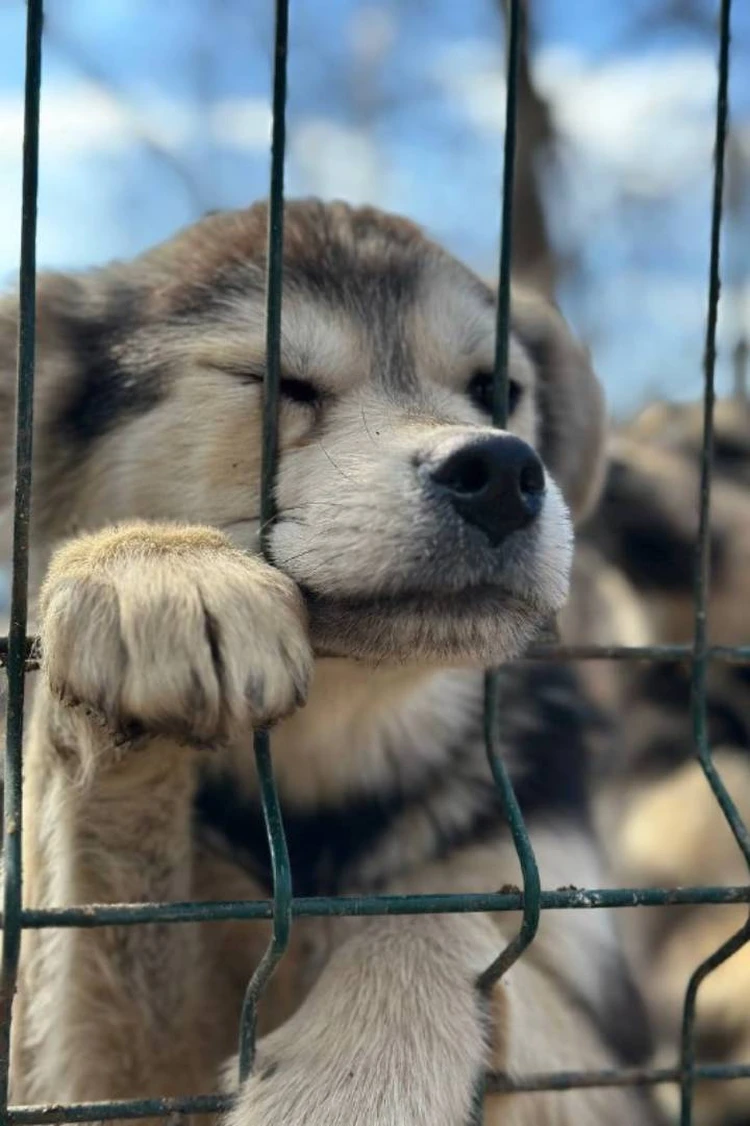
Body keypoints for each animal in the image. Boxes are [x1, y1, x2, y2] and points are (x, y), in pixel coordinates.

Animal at [1, 202, 653, 1126]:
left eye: (498, 392)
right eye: (275, 382)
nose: (500, 471)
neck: (339, 750)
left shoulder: (604, 1028)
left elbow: (436, 917)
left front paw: (352, 1075)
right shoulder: (104, 1083)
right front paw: (151, 566)